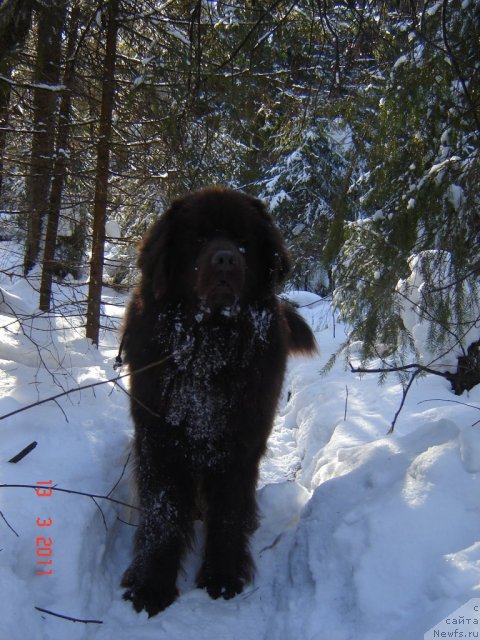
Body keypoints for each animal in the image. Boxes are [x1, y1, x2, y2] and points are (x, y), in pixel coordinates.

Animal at [120, 185, 316, 616]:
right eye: (197, 239)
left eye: (243, 241)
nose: (225, 258)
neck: (209, 346)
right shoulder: (159, 438)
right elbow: (162, 514)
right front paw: (151, 584)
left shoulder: (239, 443)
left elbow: (228, 511)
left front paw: (222, 576)